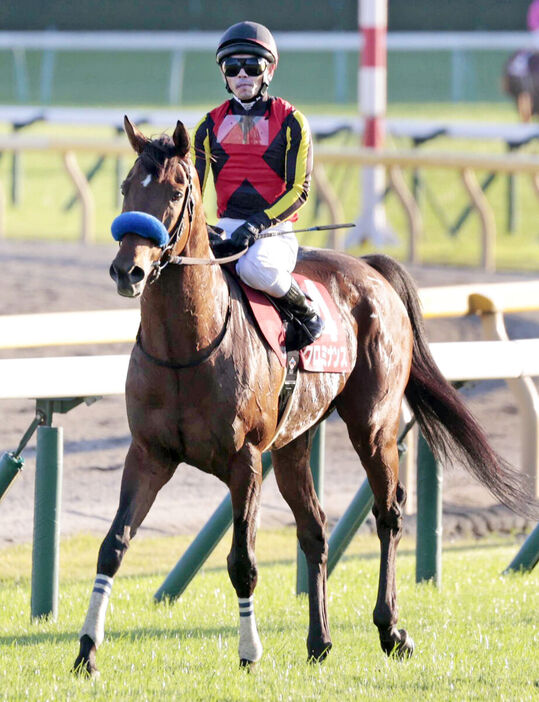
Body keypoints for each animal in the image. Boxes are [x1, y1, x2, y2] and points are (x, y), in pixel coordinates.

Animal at [74, 117, 536, 676]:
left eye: (179, 189)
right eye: (126, 187)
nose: (129, 271)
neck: (187, 346)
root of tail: (371, 270)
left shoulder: (246, 459)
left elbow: (243, 562)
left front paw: (249, 652)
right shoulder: (149, 454)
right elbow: (112, 546)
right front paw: (86, 651)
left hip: (373, 427)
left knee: (388, 514)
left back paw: (391, 629)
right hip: (295, 442)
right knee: (314, 528)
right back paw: (320, 639)